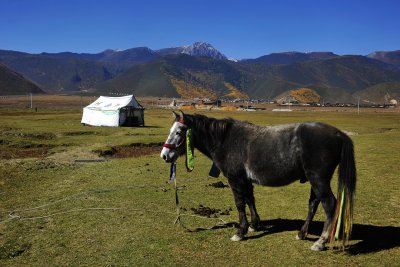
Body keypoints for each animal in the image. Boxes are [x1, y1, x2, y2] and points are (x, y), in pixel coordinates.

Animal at [160, 110, 356, 251]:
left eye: (179, 132)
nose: (165, 155)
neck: (225, 140)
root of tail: (339, 134)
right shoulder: (245, 180)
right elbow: (250, 200)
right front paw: (254, 225)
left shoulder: (235, 179)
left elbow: (240, 203)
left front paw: (240, 231)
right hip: (315, 181)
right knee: (313, 204)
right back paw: (302, 233)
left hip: (318, 179)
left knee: (329, 205)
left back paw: (320, 242)